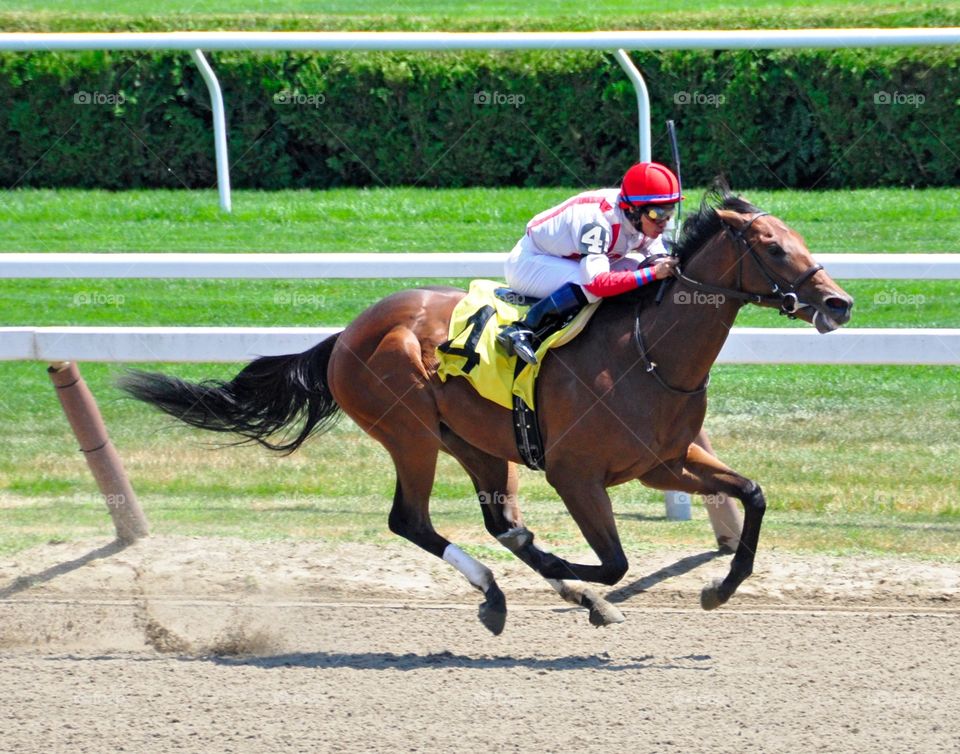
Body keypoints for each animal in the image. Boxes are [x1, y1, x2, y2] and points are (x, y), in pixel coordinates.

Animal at [122, 185, 856, 632]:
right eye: (772, 246)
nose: (839, 302)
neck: (650, 354)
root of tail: (347, 334)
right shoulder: (574, 473)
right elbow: (613, 562)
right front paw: (576, 580)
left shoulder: (665, 462)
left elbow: (753, 494)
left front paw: (717, 589)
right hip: (410, 433)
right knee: (412, 520)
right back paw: (510, 591)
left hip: (473, 441)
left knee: (497, 521)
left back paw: (531, 590)